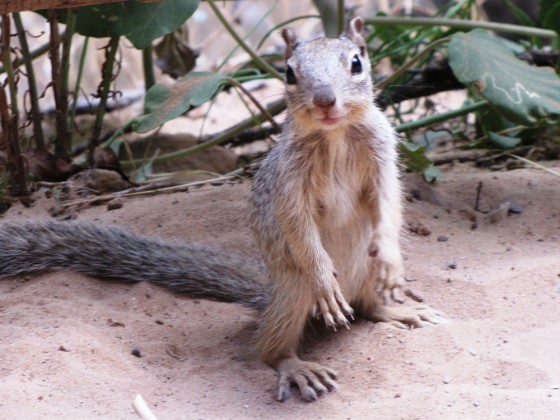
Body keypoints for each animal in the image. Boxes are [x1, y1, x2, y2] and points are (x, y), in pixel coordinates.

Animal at [0, 16, 446, 402]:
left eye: (357, 62)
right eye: (288, 72)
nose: (324, 100)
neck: (333, 135)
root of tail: (270, 291)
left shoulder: (383, 156)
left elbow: (388, 201)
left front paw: (392, 259)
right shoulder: (289, 184)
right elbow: (296, 223)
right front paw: (323, 276)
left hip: (360, 279)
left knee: (370, 308)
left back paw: (398, 310)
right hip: (293, 295)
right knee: (269, 348)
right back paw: (297, 365)